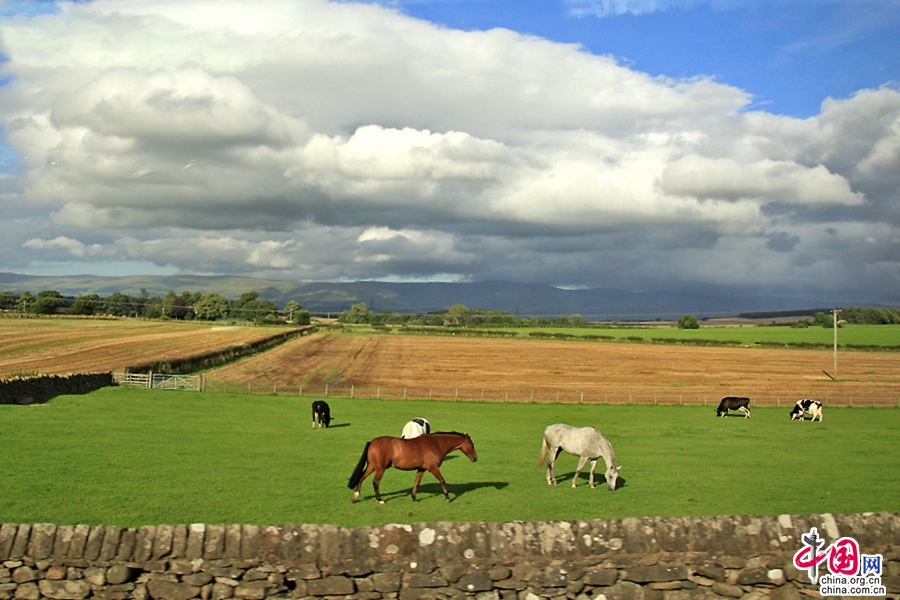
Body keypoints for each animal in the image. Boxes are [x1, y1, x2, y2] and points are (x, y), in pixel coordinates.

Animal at [348, 434, 478, 504]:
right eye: (472, 445)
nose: (475, 458)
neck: (436, 444)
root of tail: (372, 442)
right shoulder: (433, 468)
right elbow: (442, 480)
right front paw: (447, 497)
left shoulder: (421, 469)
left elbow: (416, 483)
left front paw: (414, 498)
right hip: (380, 469)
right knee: (375, 482)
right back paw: (380, 500)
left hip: (372, 467)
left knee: (361, 478)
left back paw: (355, 496)